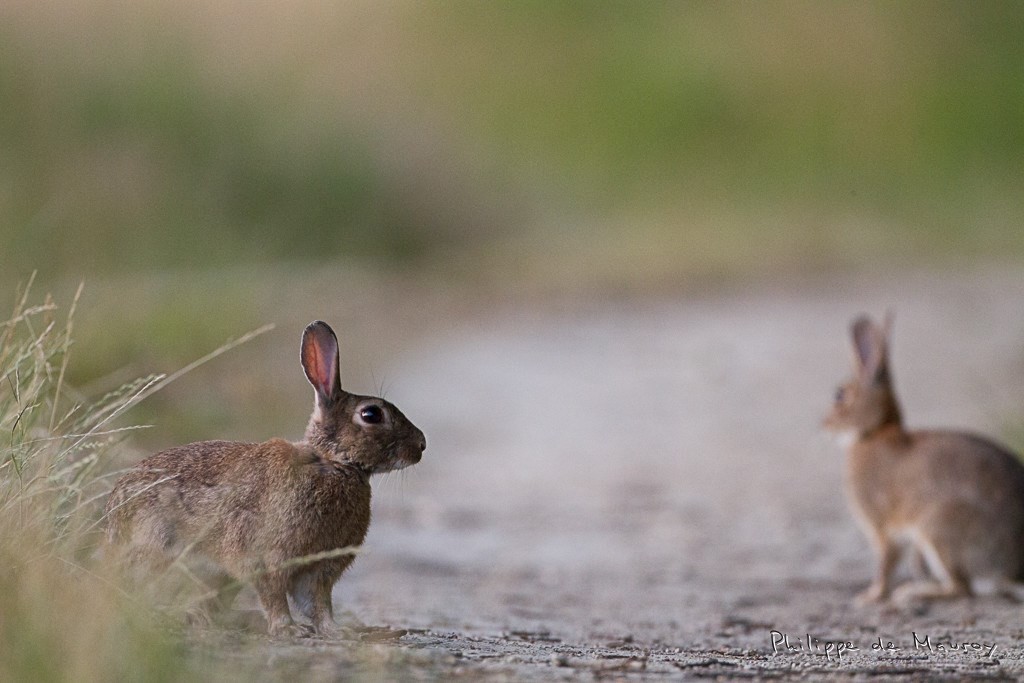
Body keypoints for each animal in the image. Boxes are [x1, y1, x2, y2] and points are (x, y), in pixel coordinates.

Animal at [104, 320, 426, 637]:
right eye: (371, 414)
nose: (422, 445)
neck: (331, 462)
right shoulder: (267, 556)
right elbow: (275, 596)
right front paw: (288, 629)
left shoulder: (318, 571)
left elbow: (319, 604)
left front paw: (337, 632)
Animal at [824, 313, 1024, 605]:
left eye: (839, 395)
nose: (823, 424)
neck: (874, 432)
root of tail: (1012, 571)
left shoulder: (883, 529)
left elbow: (885, 565)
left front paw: (869, 598)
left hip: (938, 528)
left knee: (962, 588)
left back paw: (912, 593)